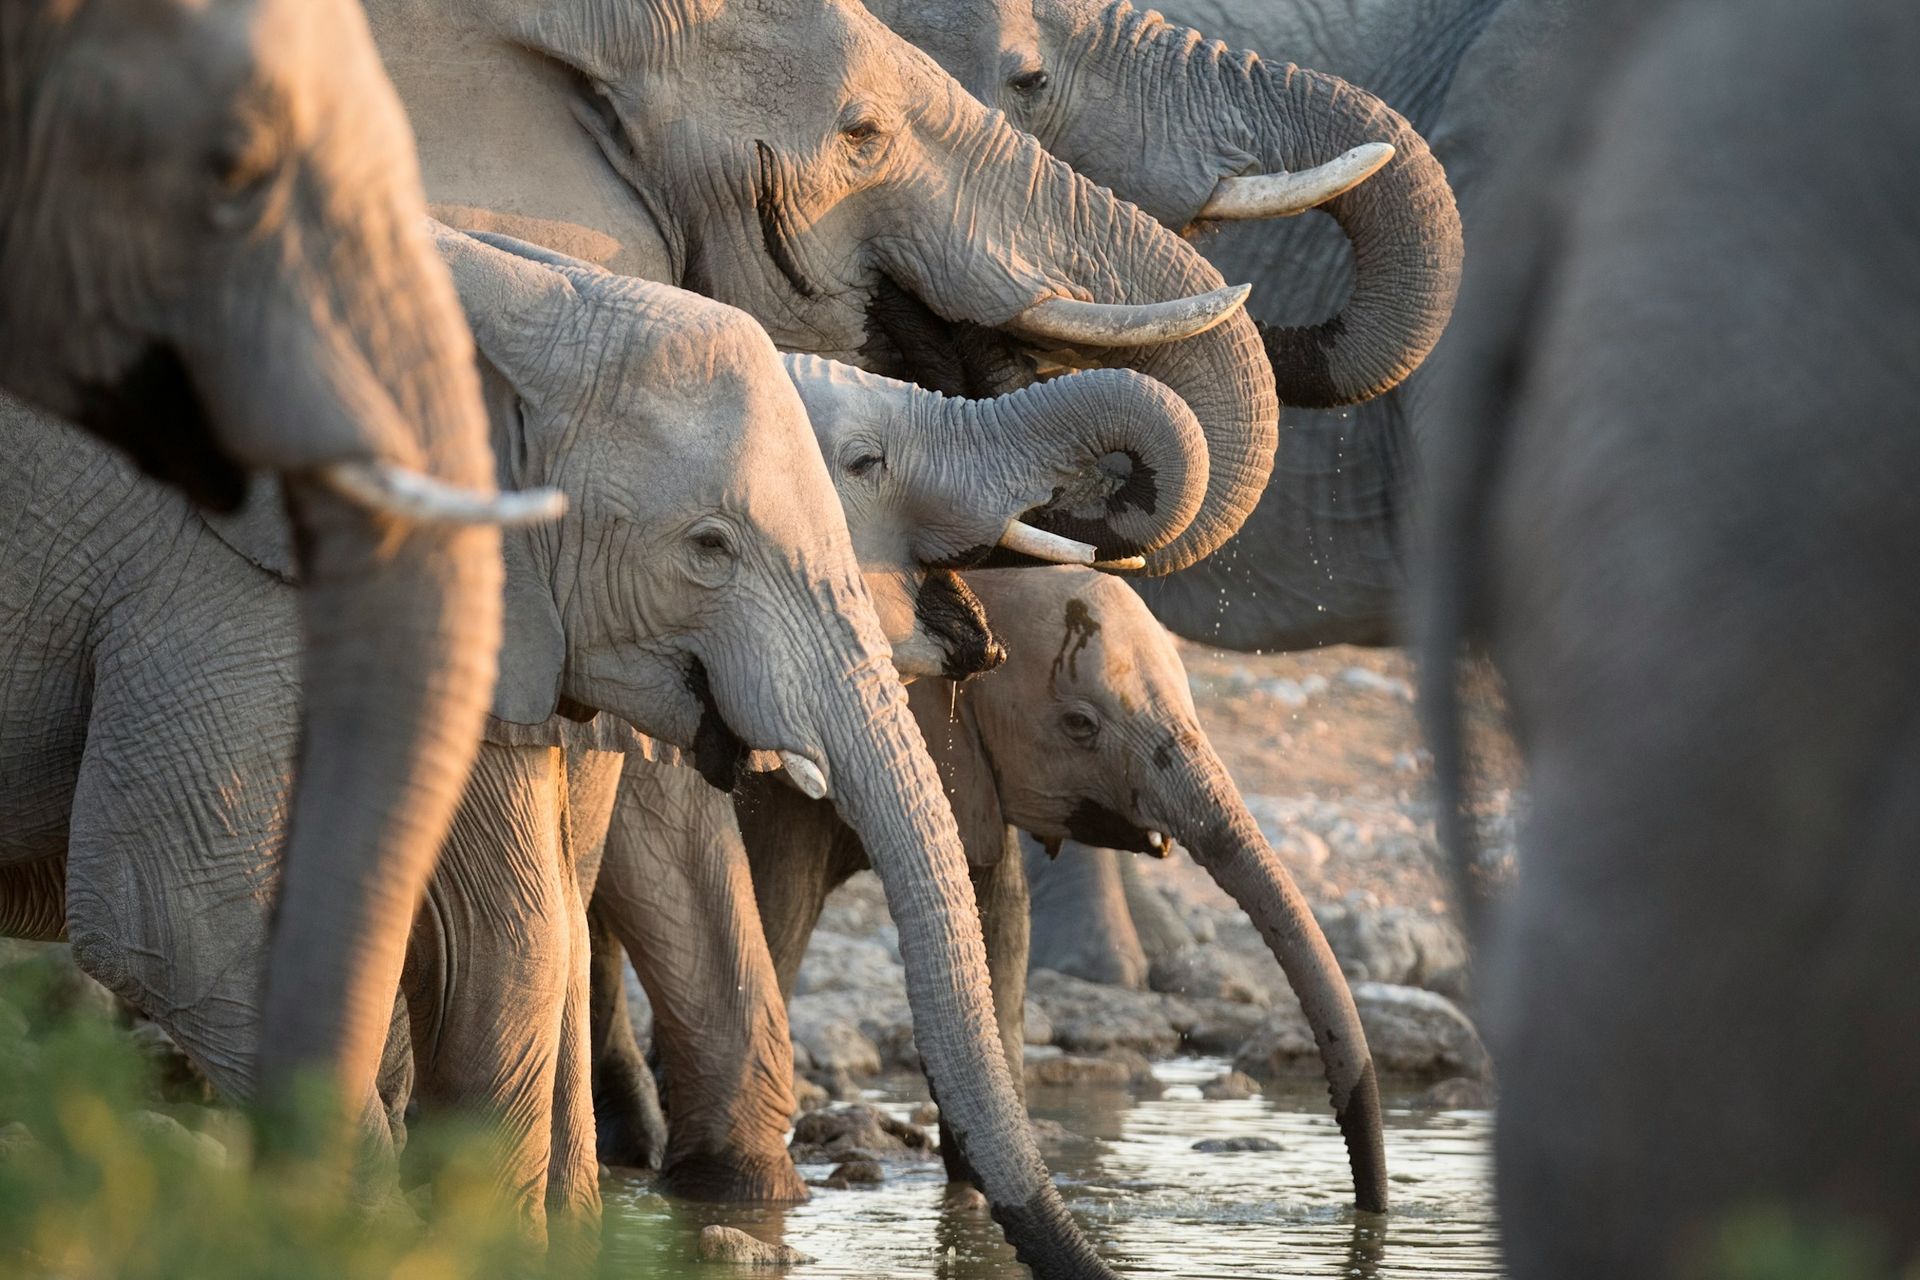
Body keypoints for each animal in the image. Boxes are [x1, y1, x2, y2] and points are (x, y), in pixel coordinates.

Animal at [591, 566, 1387, 1211]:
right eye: (1080, 725)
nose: (1367, 1211)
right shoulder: (782, 794)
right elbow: (774, 921)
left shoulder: (974, 773)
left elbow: (997, 930)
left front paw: (975, 1191)